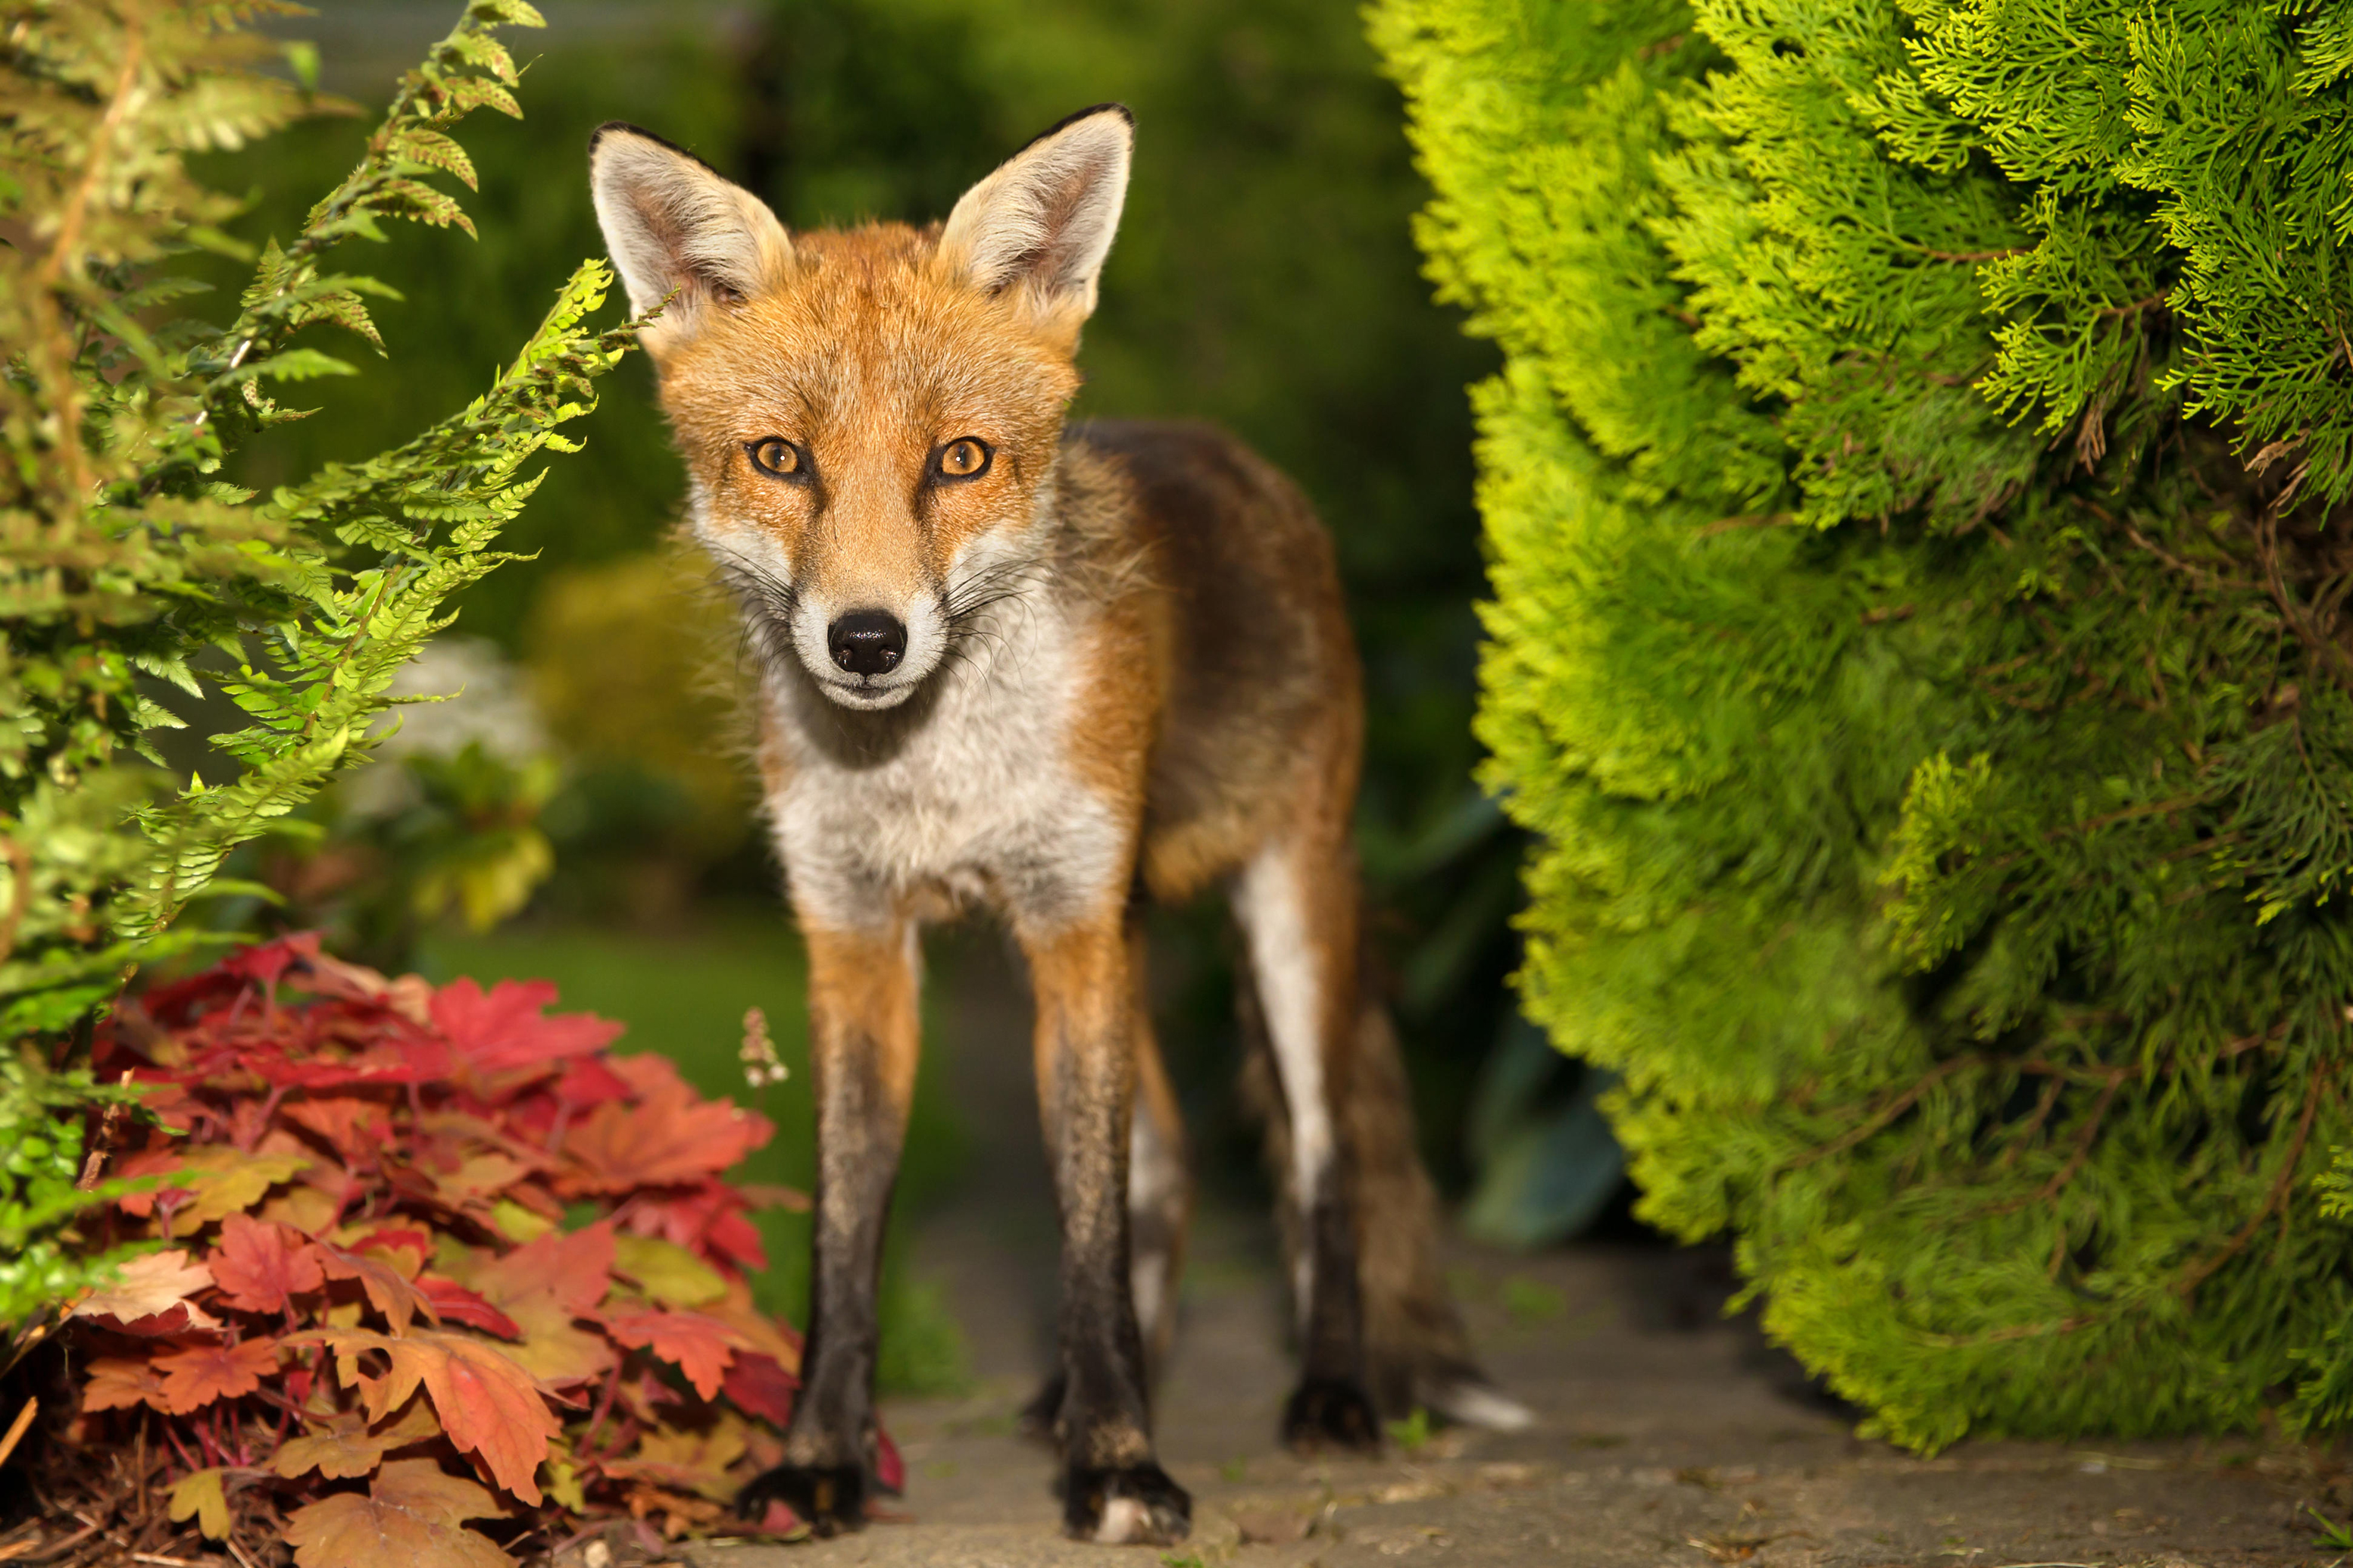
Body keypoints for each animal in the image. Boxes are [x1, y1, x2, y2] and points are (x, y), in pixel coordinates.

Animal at [588, 107, 1524, 1535]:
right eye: (780, 461)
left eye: (959, 461)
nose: (867, 640)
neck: (932, 781)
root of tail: (1236, 456)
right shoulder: (858, 940)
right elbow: (848, 1232)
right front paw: (821, 1460)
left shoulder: (1072, 922)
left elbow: (1087, 1224)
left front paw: (1121, 1464)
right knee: (1175, 1161)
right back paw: (1067, 1397)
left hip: (1283, 912)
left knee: (1320, 1168)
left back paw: (1331, 1396)